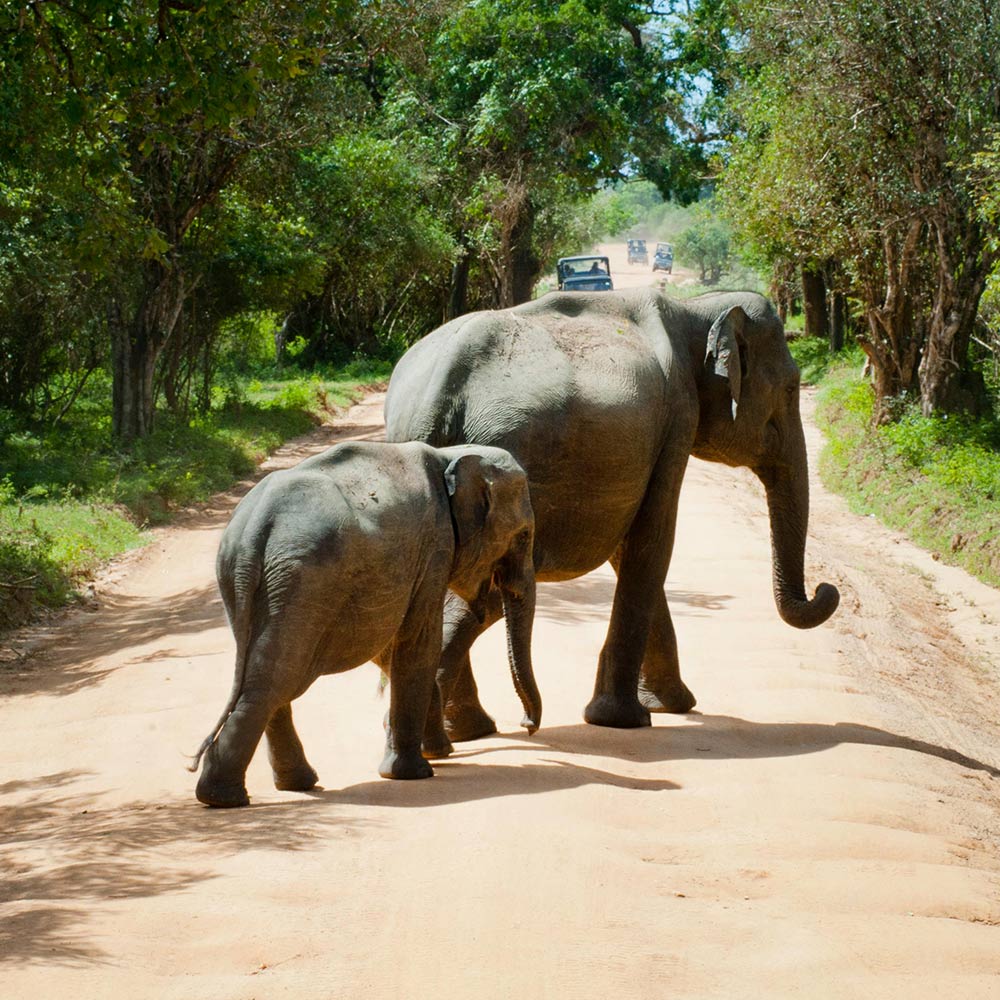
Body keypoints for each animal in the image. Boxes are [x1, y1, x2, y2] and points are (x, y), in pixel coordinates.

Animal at [189, 440, 540, 808]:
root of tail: (256, 528)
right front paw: (414, 772)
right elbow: (418, 642)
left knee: (268, 673)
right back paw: (226, 797)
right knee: (276, 680)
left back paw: (284, 786)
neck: (449, 455)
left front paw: (436, 752)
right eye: (524, 535)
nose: (527, 725)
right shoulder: (434, 547)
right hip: (303, 582)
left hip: (252, 581)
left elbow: (392, 646)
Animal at [384, 286, 840, 741]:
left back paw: (463, 731)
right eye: (792, 389)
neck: (694, 308)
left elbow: (630, 548)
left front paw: (670, 705)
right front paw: (625, 718)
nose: (825, 588)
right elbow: (653, 540)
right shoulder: (677, 417)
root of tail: (433, 396)